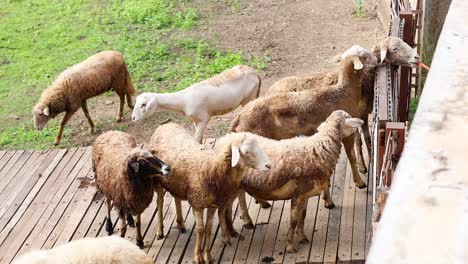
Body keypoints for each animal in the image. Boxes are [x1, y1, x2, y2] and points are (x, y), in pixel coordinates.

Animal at [132, 65, 262, 143]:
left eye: (143, 104)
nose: (133, 118)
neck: (182, 101)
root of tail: (254, 72)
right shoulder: (195, 121)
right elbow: (199, 140)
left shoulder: (203, 119)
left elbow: (196, 140)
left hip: (249, 98)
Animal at [150, 124, 270, 264]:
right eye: (246, 152)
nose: (269, 165)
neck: (213, 169)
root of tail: (164, 125)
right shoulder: (197, 203)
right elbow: (200, 229)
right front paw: (198, 256)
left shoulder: (213, 205)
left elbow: (208, 228)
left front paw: (208, 256)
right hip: (157, 180)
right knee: (160, 202)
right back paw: (160, 230)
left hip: (176, 182)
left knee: (176, 198)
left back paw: (180, 224)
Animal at [229, 54, 370, 190]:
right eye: (363, 57)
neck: (347, 91)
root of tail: (239, 117)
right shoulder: (347, 133)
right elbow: (352, 157)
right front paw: (360, 182)